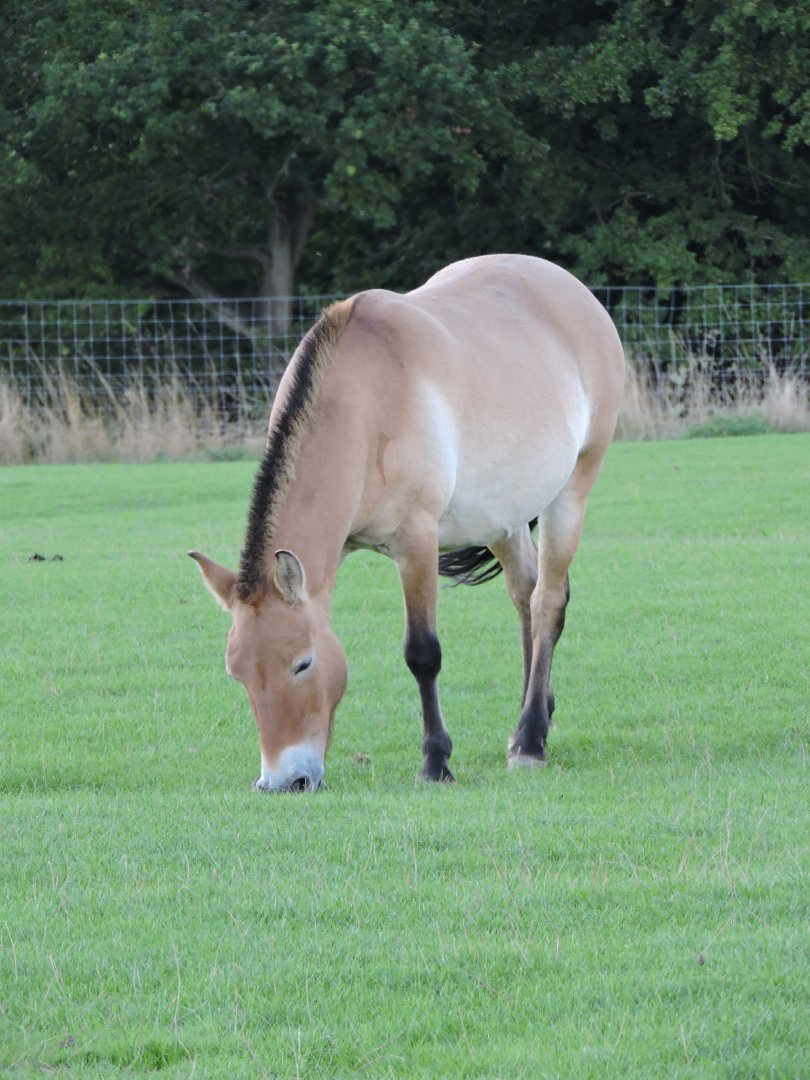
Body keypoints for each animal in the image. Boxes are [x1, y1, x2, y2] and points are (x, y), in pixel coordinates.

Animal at [189, 255, 625, 792]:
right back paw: (531, 718)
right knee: (524, 593)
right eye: (238, 673)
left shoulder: (416, 540)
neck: (363, 404)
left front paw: (435, 762)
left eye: (302, 663)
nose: (282, 782)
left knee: (547, 603)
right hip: (502, 519)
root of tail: (576, 294)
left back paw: (529, 741)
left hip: (572, 491)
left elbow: (422, 653)